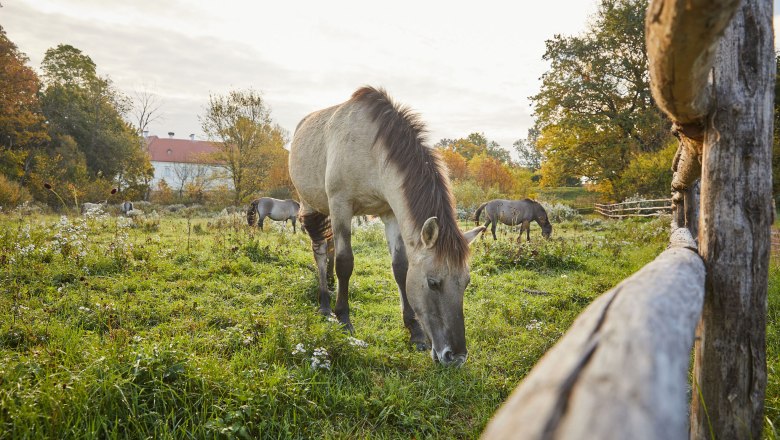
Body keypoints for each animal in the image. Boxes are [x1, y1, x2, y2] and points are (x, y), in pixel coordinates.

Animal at [290, 87, 484, 368]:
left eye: (466, 282)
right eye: (433, 283)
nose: (455, 357)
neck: (372, 151)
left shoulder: (390, 212)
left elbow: (400, 268)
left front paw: (414, 331)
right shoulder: (341, 205)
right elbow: (345, 263)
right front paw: (344, 320)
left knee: (328, 246)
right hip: (312, 205)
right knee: (320, 250)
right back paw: (325, 305)